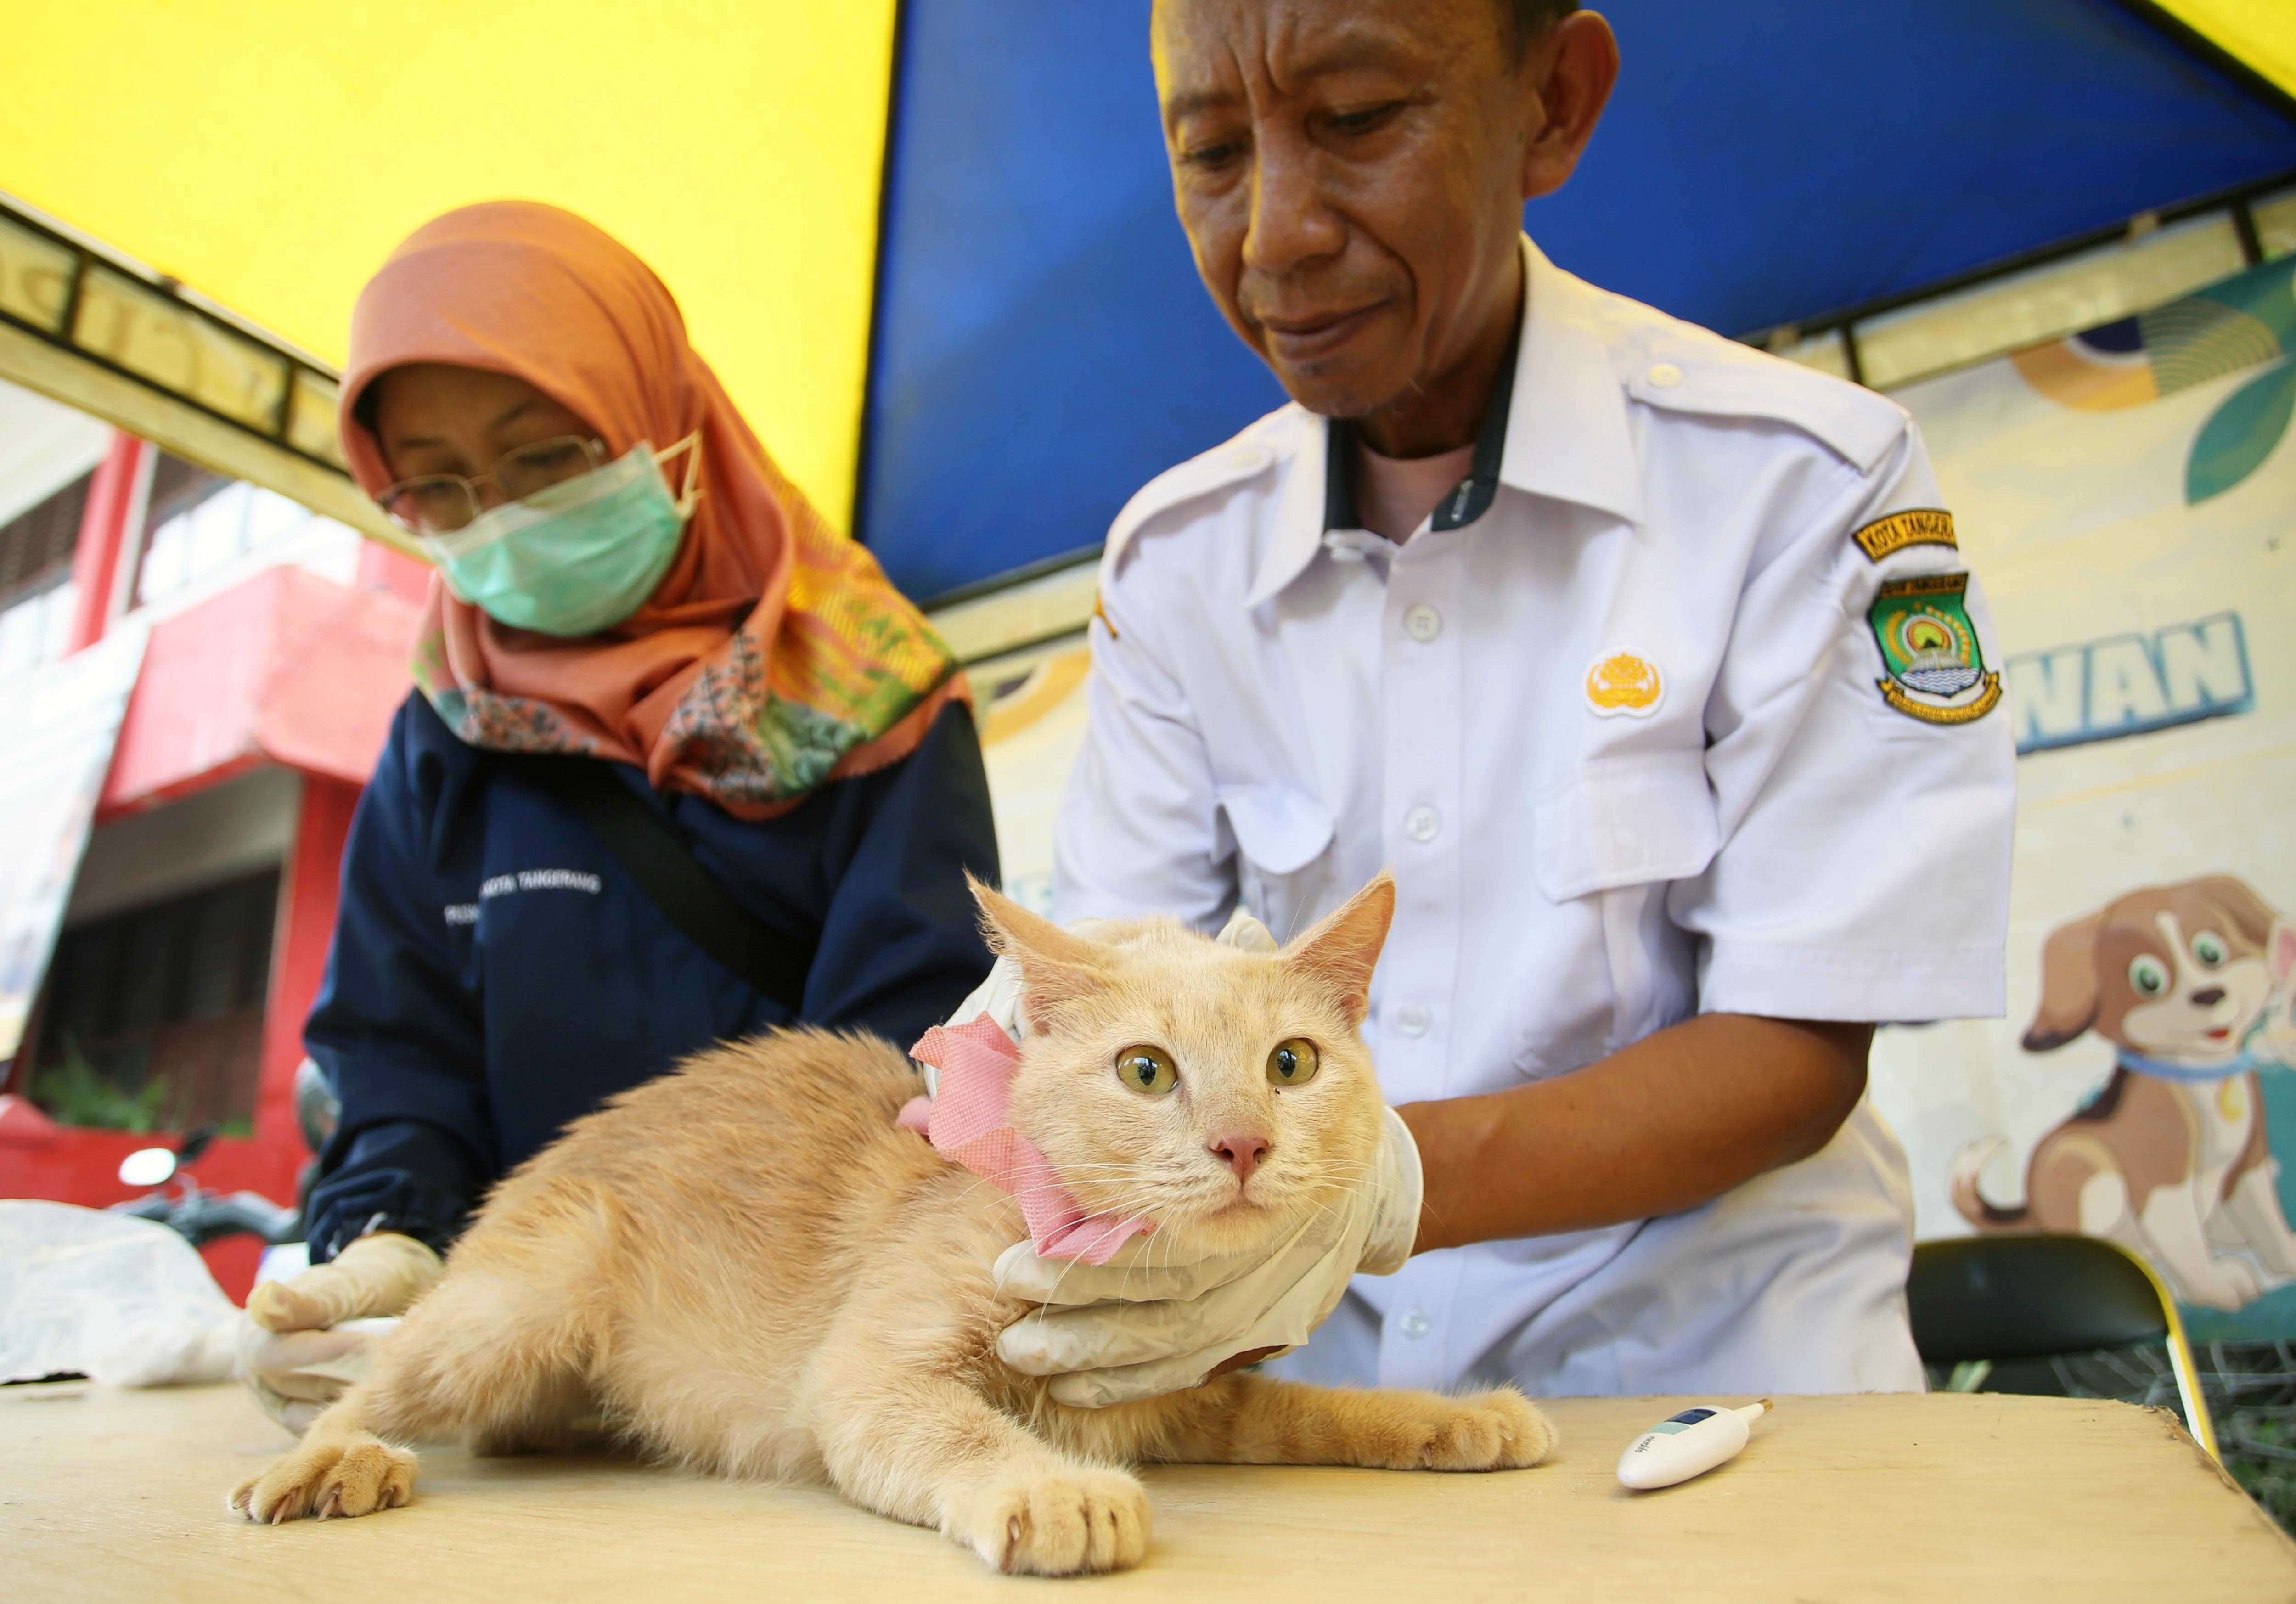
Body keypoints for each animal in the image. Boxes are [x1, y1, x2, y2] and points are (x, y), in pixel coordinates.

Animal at [233, 872, 1552, 1579]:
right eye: (1146, 1070)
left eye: (1291, 1063)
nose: (1241, 1144)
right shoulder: (866, 1375)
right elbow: (957, 1427)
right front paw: (1053, 1489)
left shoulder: (1186, 1397)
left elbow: (1313, 1407)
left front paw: (1455, 1416)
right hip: (525, 1299)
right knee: (374, 1383)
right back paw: (325, 1455)